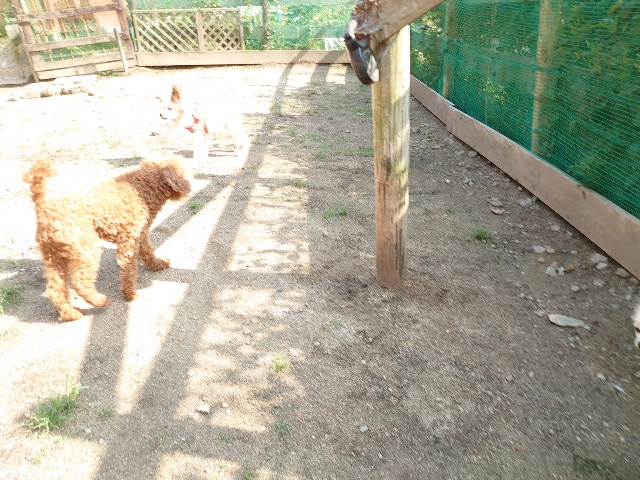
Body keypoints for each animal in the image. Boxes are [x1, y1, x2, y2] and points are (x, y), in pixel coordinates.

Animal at [23, 157, 191, 321]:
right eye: (183, 173)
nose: (189, 186)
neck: (142, 189)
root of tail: (43, 209)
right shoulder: (128, 241)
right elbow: (130, 269)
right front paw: (130, 294)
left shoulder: (141, 235)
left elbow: (148, 252)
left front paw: (158, 264)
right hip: (87, 249)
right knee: (80, 283)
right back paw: (100, 300)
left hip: (53, 257)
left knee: (55, 290)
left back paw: (71, 314)